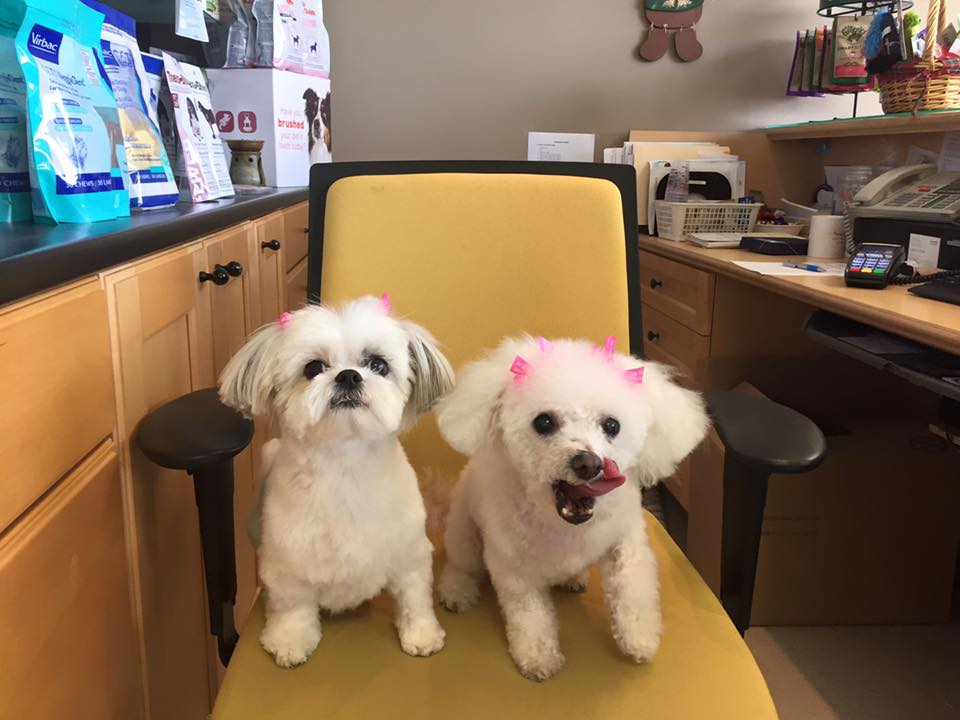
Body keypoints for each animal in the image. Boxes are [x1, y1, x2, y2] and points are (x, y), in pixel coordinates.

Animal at [219, 295, 455, 667]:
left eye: (378, 365)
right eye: (313, 368)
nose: (348, 376)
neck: (345, 465)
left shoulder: (409, 551)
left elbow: (414, 596)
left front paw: (421, 634)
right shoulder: (286, 561)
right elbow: (292, 605)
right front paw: (290, 640)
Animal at [437, 336, 709, 681]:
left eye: (611, 425)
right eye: (543, 422)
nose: (588, 463)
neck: (566, 527)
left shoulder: (626, 539)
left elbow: (633, 586)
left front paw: (639, 637)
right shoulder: (513, 567)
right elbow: (529, 614)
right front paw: (538, 658)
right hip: (465, 535)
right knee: (461, 565)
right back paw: (456, 591)